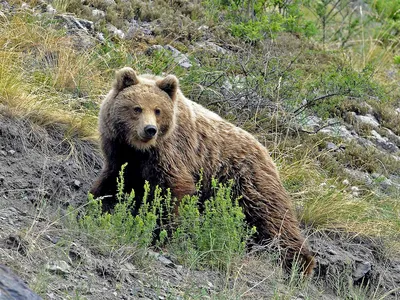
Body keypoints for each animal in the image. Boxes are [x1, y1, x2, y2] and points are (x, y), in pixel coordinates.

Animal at [90, 67, 316, 276]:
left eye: (157, 110)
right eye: (137, 108)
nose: (149, 130)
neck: (139, 149)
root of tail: (268, 152)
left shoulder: (172, 152)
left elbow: (175, 189)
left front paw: (162, 234)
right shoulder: (120, 153)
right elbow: (113, 181)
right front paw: (96, 204)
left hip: (248, 180)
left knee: (273, 218)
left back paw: (299, 264)